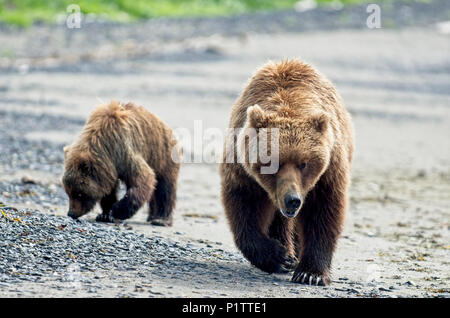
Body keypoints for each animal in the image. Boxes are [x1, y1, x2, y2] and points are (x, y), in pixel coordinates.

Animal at [220, 59, 354, 286]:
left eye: (304, 163)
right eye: (272, 162)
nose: (293, 200)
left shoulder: (328, 170)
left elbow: (323, 212)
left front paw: (310, 273)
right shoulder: (244, 170)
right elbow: (245, 207)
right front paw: (278, 257)